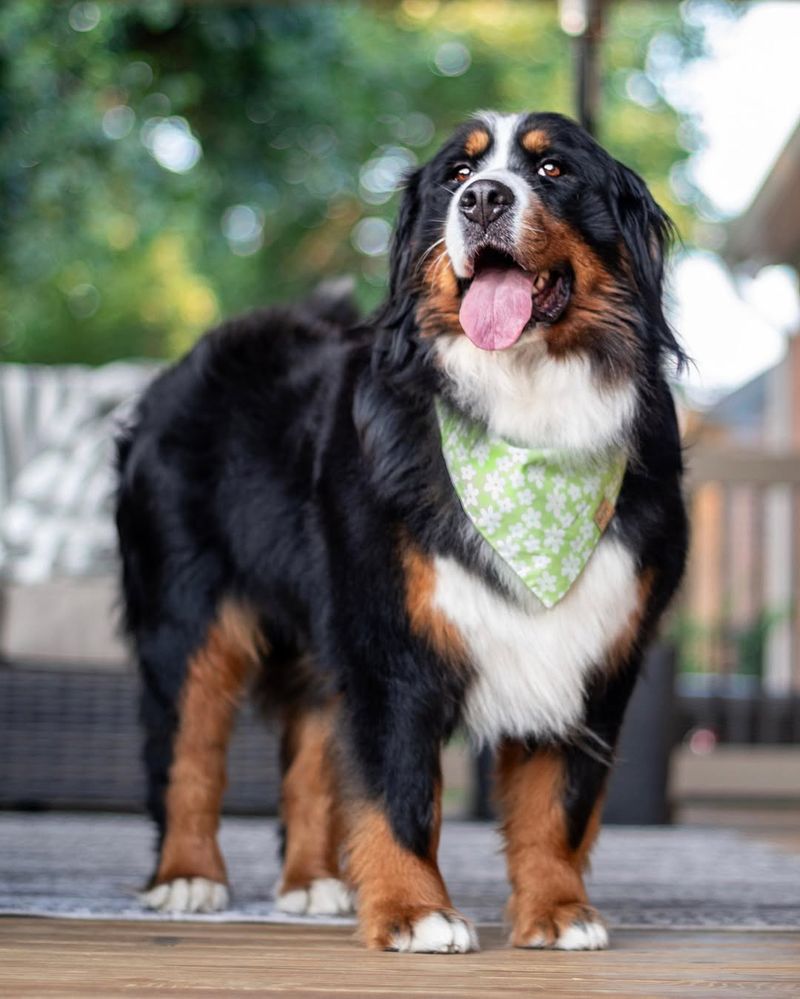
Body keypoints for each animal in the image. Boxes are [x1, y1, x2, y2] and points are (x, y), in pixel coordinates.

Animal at [115, 109, 684, 952]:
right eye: (458, 175)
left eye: (553, 171)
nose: (484, 200)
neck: (528, 416)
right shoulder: (390, 638)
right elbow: (398, 790)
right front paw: (417, 911)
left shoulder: (594, 649)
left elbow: (559, 801)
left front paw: (557, 910)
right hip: (186, 614)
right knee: (186, 747)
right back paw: (187, 875)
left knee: (311, 751)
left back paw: (313, 881)